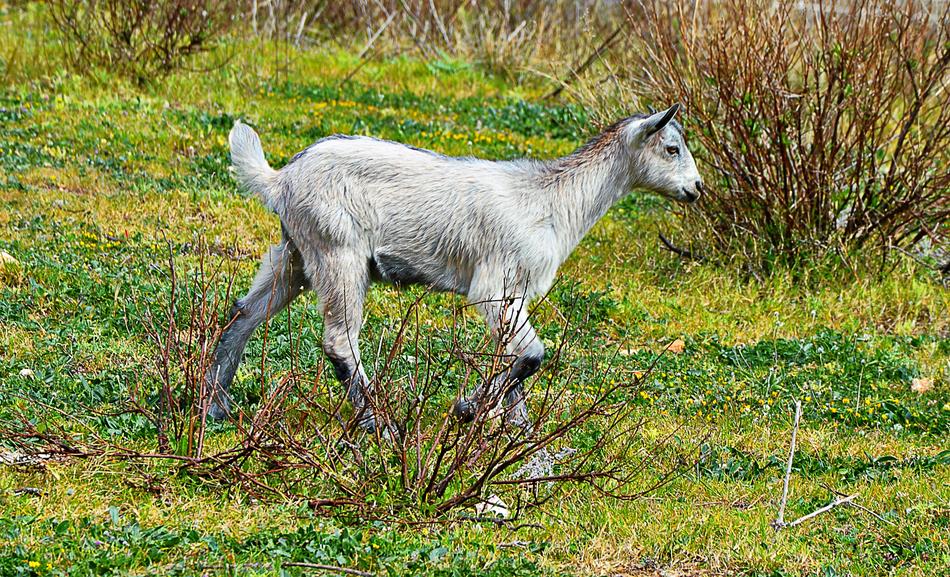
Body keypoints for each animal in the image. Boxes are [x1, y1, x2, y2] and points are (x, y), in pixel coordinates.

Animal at [205, 104, 703, 431]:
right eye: (672, 148)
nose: (697, 188)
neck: (550, 200)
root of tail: (279, 179)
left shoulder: (513, 294)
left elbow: (514, 358)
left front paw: (518, 433)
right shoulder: (493, 284)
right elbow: (531, 354)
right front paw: (468, 410)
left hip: (294, 253)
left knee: (242, 314)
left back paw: (216, 407)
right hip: (337, 252)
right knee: (339, 341)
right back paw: (378, 425)